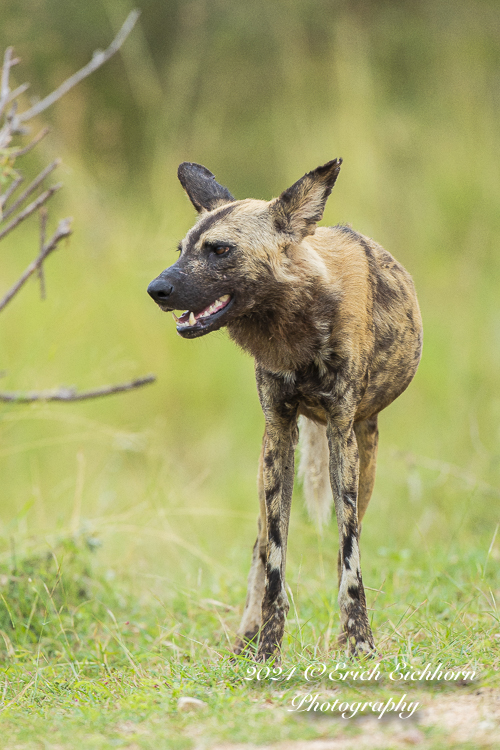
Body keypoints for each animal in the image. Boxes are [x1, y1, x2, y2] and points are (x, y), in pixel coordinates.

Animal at [147, 162, 422, 660]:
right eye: (182, 250)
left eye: (219, 250)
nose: (156, 289)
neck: (296, 329)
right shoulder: (278, 434)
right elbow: (274, 559)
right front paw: (267, 648)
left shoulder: (341, 435)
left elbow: (349, 559)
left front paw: (359, 642)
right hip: (267, 471)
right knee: (259, 548)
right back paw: (246, 636)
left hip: (364, 455)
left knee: (345, 543)